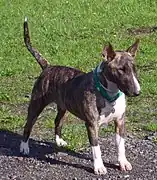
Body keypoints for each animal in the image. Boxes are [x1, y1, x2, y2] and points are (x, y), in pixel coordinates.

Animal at [20, 17, 140, 174]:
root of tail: (48, 67)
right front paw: (99, 167)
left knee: (57, 121)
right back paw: (24, 147)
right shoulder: (92, 124)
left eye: (134, 68)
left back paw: (59, 141)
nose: (137, 92)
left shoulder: (120, 121)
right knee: (28, 125)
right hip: (36, 104)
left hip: (63, 106)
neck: (109, 93)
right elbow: (96, 148)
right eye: (121, 70)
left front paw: (123, 163)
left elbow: (121, 145)